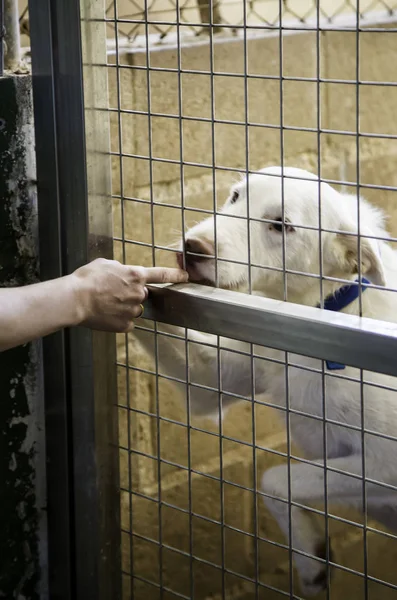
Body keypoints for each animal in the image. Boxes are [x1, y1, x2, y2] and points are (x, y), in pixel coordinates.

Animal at [135, 168, 396, 596]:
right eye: (235, 196)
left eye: (280, 225)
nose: (193, 246)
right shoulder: (209, 381)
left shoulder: (383, 461)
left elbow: (275, 477)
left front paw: (310, 558)